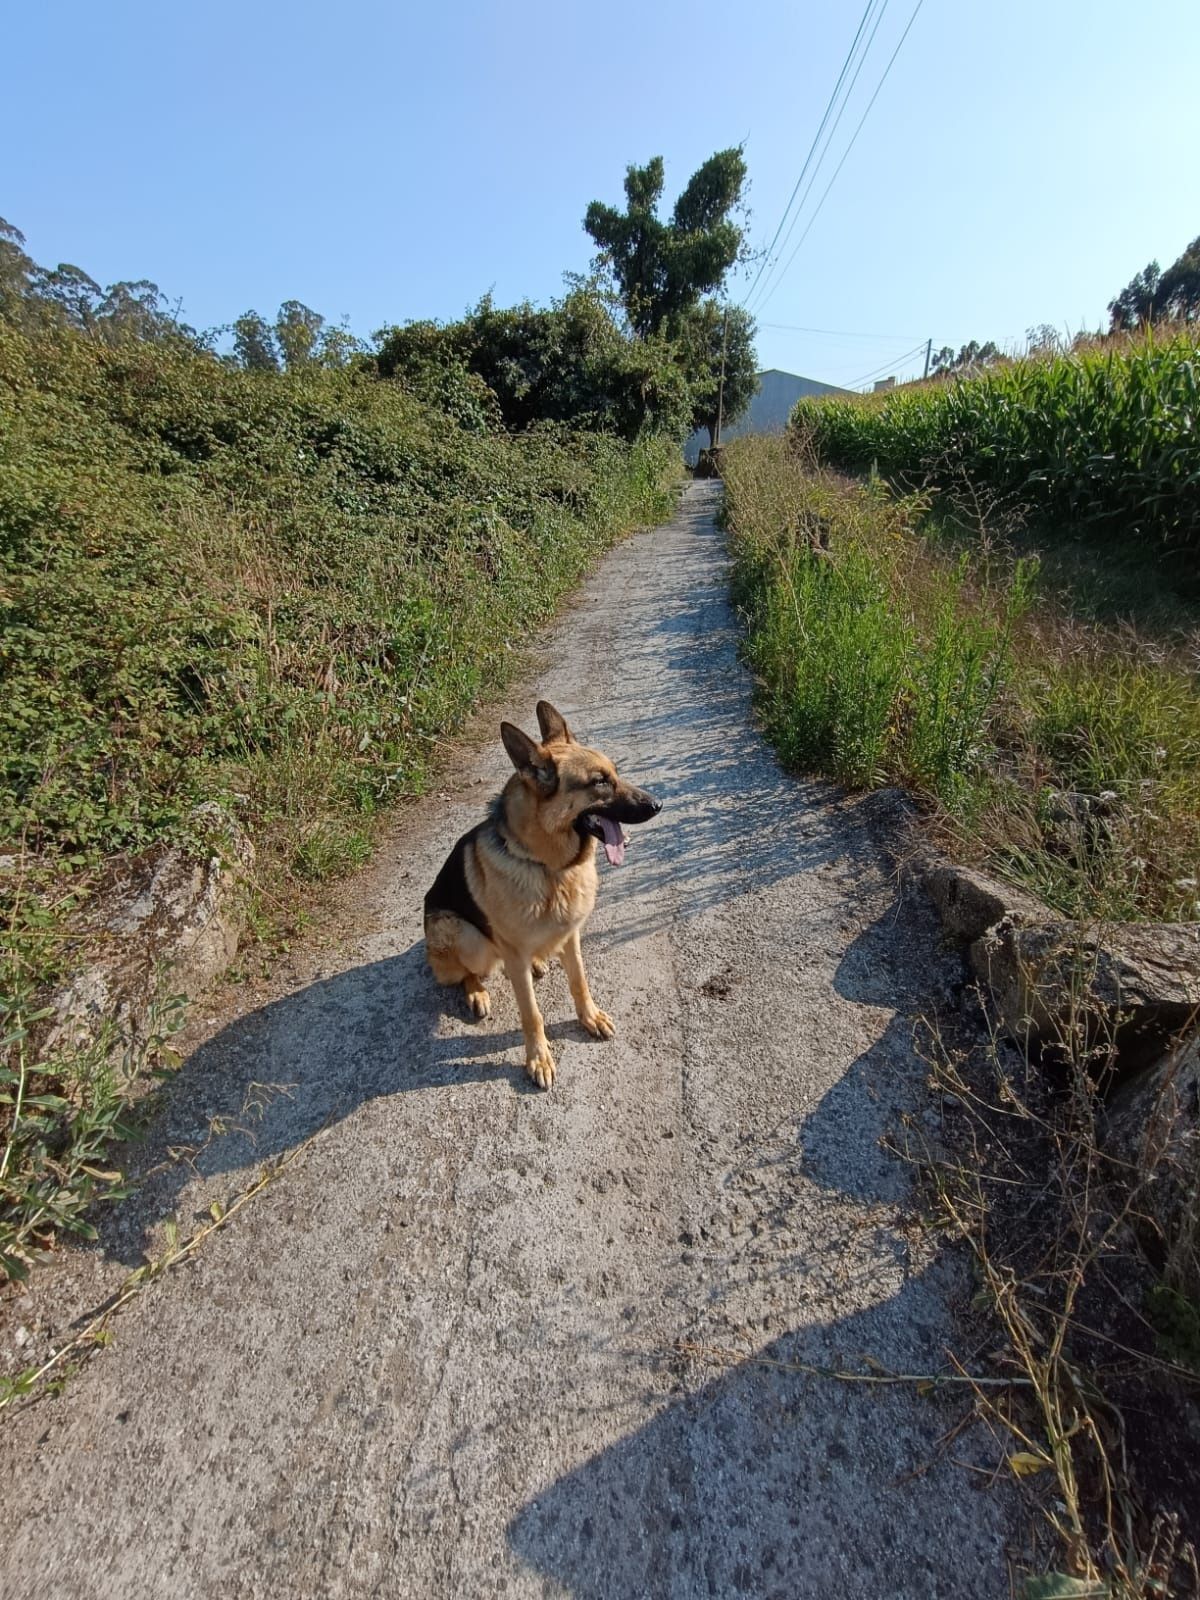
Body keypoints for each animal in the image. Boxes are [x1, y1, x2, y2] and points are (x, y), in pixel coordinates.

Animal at [428, 700, 662, 1088]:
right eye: (600, 782)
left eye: (614, 772)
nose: (658, 804)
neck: (549, 867)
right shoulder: (516, 958)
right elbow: (532, 1014)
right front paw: (538, 1058)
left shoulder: (571, 936)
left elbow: (579, 981)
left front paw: (590, 1017)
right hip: (463, 935)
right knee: (467, 972)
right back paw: (477, 991)